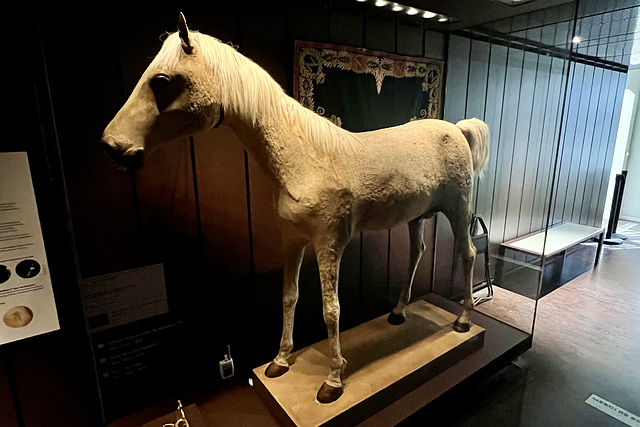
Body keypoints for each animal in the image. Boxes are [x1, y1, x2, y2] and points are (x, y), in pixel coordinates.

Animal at [101, 13, 490, 404]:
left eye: (161, 80)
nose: (112, 146)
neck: (304, 159)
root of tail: (457, 129)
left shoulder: (329, 244)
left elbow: (331, 311)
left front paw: (333, 381)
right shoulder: (292, 240)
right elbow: (289, 297)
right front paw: (280, 361)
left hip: (459, 210)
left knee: (468, 253)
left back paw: (463, 320)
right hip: (415, 217)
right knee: (416, 252)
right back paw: (397, 312)